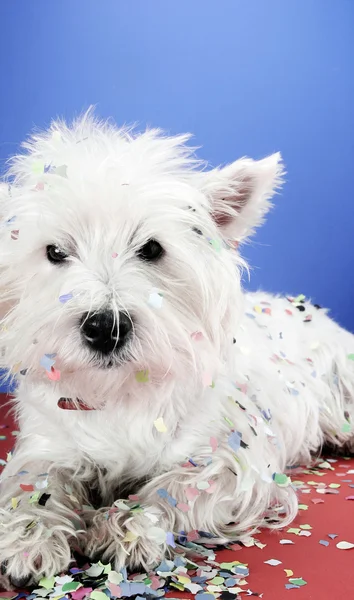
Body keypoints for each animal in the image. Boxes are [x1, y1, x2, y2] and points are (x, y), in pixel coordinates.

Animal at [0, 112, 352, 584]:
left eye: (151, 248)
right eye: (55, 251)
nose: (104, 328)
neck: (119, 391)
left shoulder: (229, 455)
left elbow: (178, 485)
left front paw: (128, 528)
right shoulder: (47, 444)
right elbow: (33, 485)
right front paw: (29, 537)